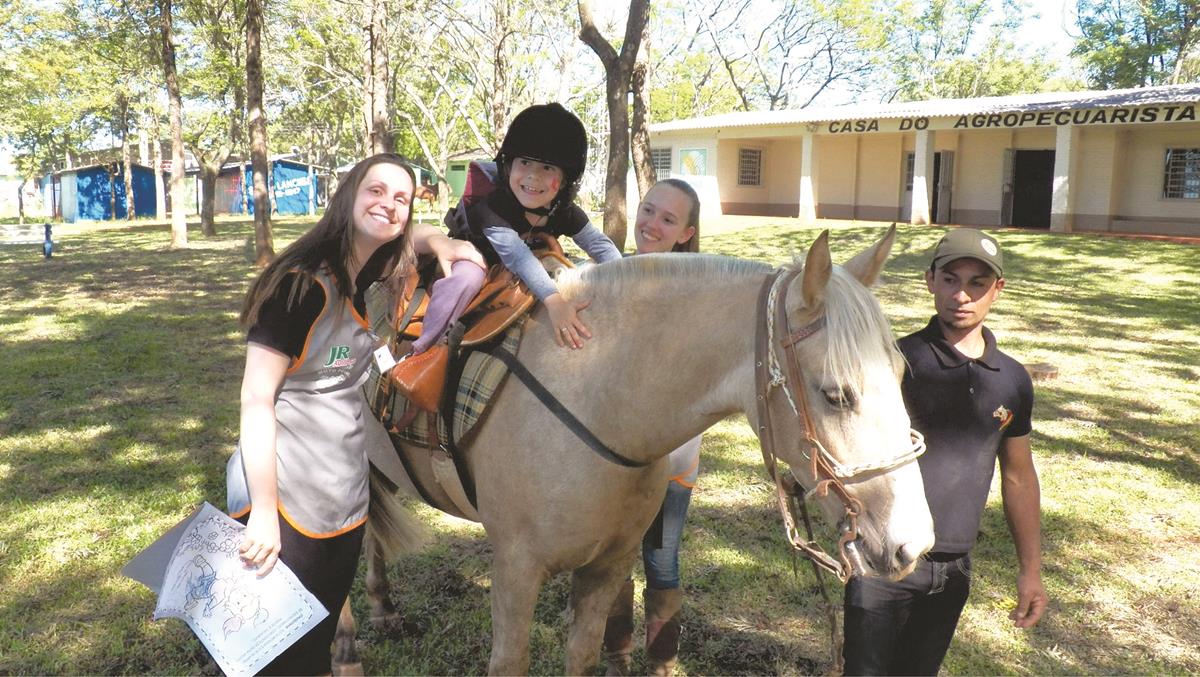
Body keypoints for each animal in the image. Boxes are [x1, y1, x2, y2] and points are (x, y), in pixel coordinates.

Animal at [343, 225, 931, 672]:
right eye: (837, 394)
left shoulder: (608, 565)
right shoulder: (514, 567)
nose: (915, 544)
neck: (597, 394)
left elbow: (583, 655)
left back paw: (383, 608)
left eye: (903, 375)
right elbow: (510, 661)